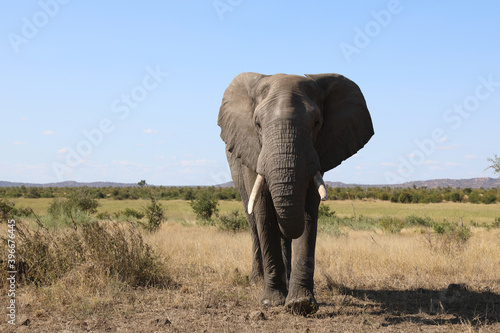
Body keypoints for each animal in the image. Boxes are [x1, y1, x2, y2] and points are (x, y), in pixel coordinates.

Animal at [217, 71, 374, 312]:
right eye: (257, 124)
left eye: (317, 123)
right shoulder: (253, 151)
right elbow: (264, 212)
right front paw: (271, 301)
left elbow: (308, 210)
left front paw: (301, 304)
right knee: (253, 221)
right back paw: (256, 280)